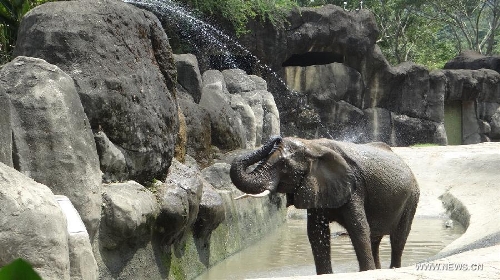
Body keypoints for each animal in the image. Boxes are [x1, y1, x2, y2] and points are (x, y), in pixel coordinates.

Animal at [229, 136, 418, 274]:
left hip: (412, 198)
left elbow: (358, 227)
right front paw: (326, 275)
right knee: (375, 239)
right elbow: (316, 232)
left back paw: (392, 268)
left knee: (398, 238)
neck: (312, 146)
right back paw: (378, 270)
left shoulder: (354, 186)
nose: (277, 138)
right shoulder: (316, 185)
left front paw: (365, 272)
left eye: (284, 165)